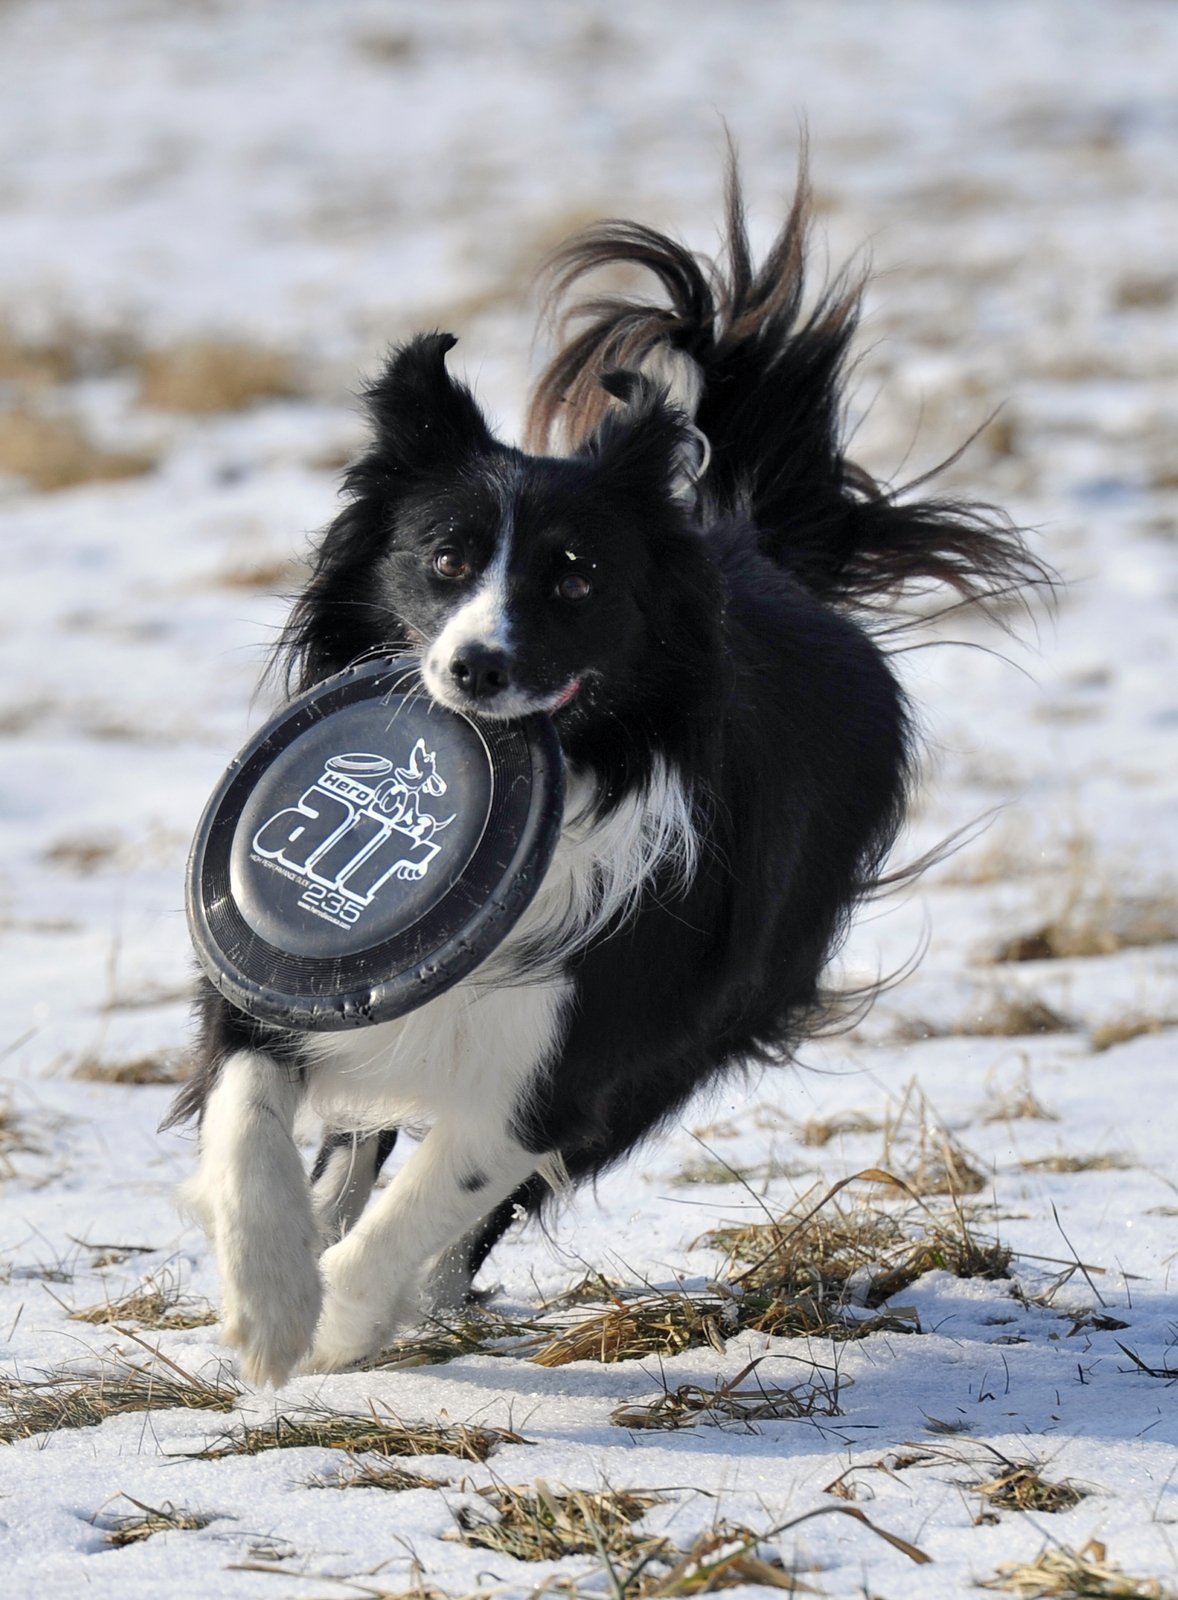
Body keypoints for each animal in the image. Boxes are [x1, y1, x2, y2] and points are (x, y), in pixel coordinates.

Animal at [168, 168, 1037, 1382]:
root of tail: (751, 543)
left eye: (574, 578)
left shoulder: (581, 1051)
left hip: (702, 1023)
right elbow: (248, 1111)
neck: (587, 765)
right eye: (444, 558)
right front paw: (271, 1300)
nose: (476, 670)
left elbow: (449, 1185)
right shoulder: (268, 973)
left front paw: (340, 1320)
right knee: (349, 1140)